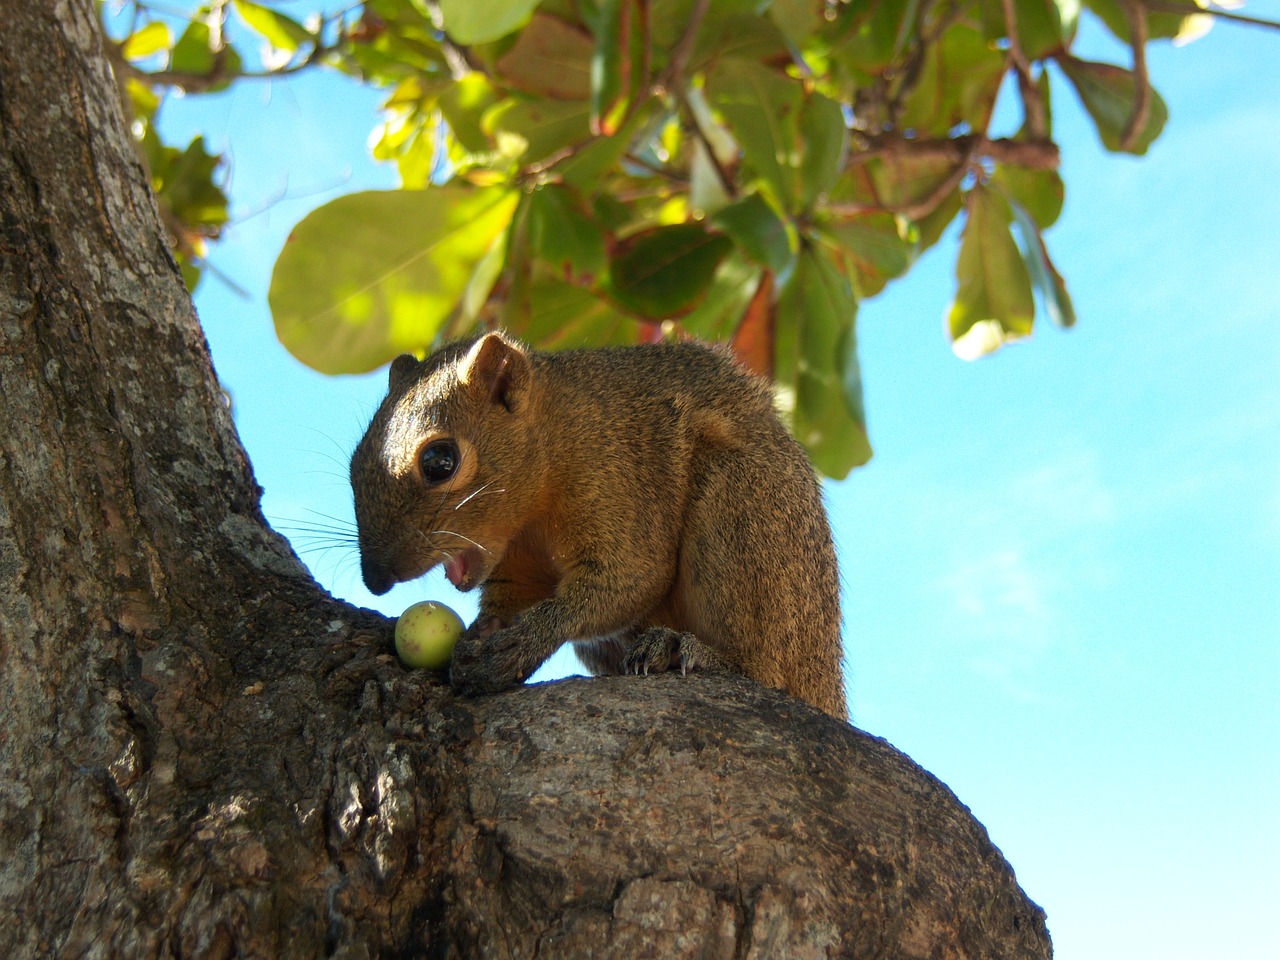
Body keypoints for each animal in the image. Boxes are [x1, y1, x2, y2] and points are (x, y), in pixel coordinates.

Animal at [350, 332, 849, 721]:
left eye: (440, 461)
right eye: (354, 463)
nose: (374, 579)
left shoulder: (620, 481)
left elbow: (627, 581)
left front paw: (523, 643)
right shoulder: (516, 565)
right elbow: (511, 600)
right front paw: (482, 635)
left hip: (745, 514)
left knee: (760, 669)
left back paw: (686, 651)